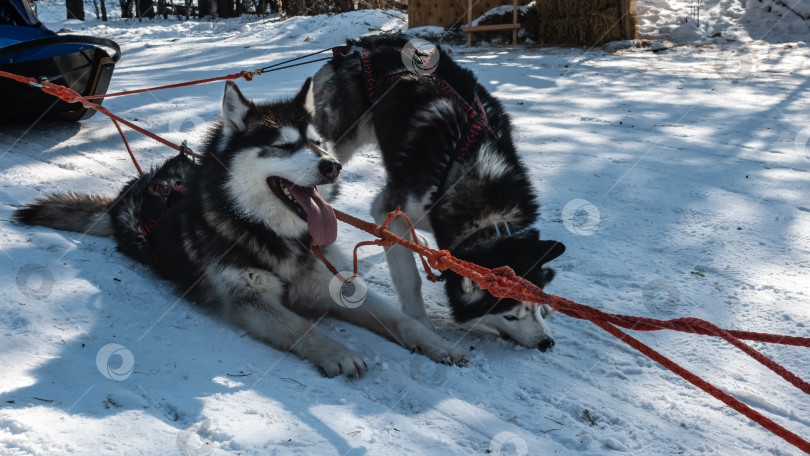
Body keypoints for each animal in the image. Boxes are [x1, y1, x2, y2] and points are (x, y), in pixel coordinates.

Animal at [12, 79, 468, 378]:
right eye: (284, 146)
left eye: (318, 143)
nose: (332, 166)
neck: (270, 232)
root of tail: (133, 190)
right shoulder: (249, 299)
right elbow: (302, 326)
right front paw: (337, 352)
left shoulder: (333, 282)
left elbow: (398, 319)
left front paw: (435, 343)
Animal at [312, 35, 564, 350]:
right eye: (510, 316)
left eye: (532, 307)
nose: (547, 343)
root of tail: (362, 44)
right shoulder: (388, 207)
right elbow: (409, 276)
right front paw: (420, 320)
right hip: (339, 144)